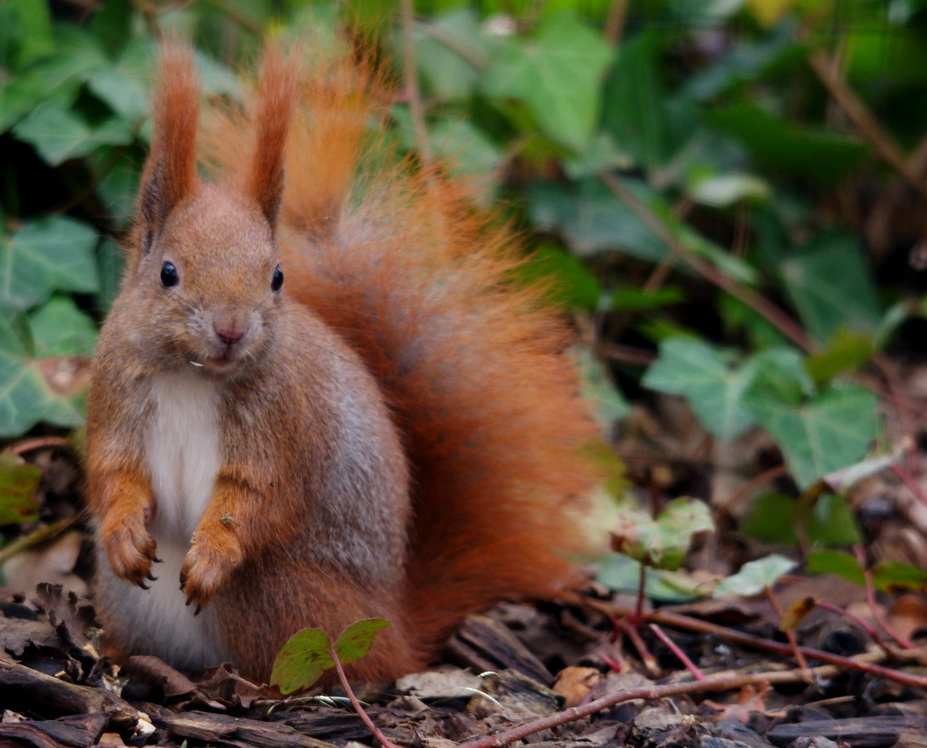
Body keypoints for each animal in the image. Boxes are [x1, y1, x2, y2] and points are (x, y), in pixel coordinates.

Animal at [83, 41, 600, 684]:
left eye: (277, 277)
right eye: (167, 273)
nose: (231, 329)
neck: (192, 376)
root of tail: (395, 630)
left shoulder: (283, 426)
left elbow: (257, 498)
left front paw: (213, 554)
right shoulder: (115, 392)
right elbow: (113, 473)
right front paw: (124, 532)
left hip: (277, 592)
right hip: (129, 602)